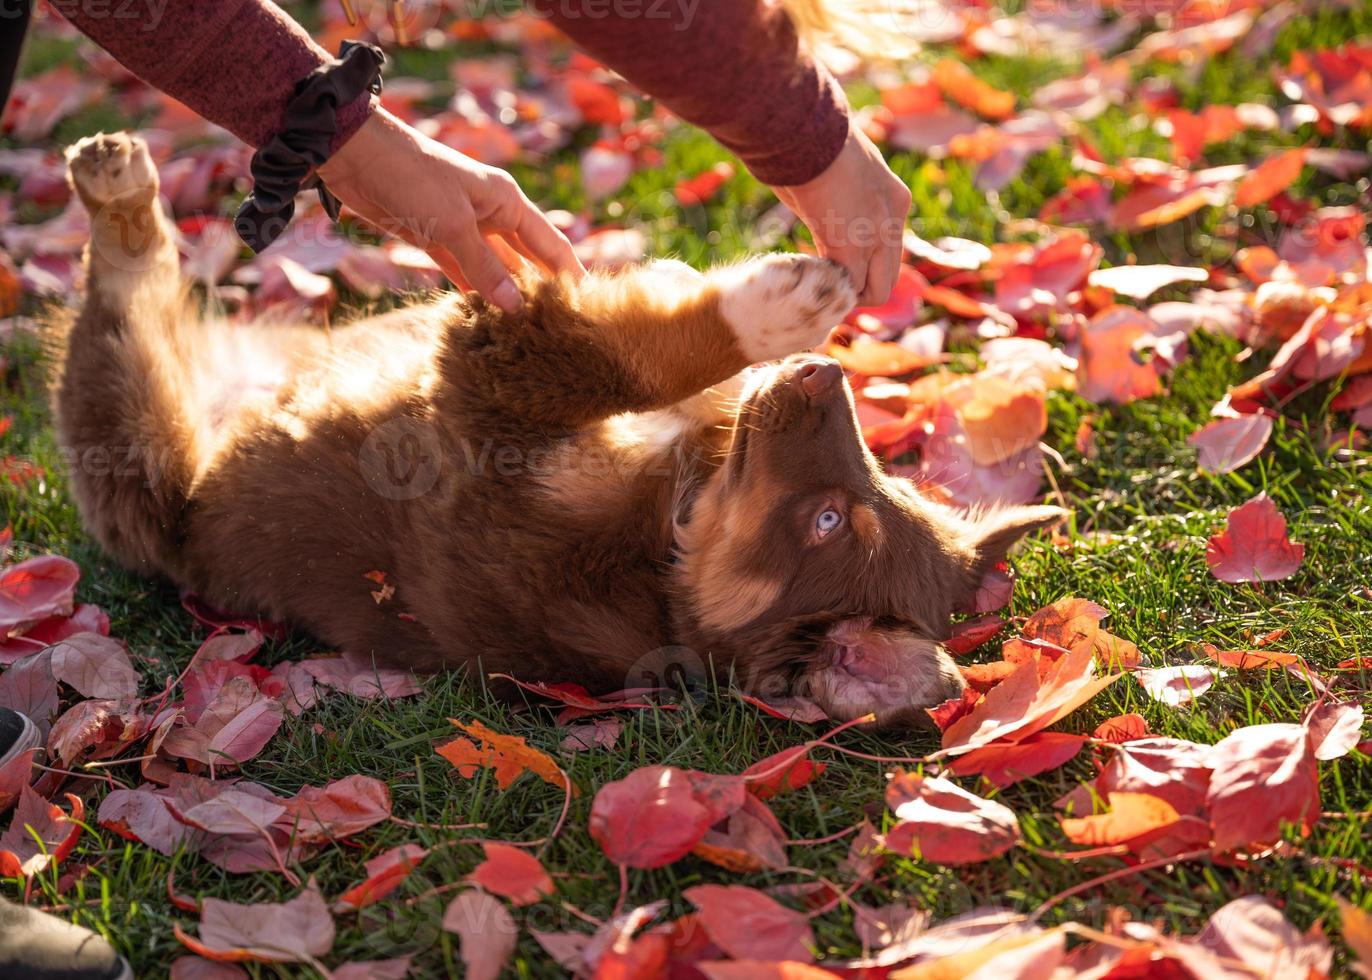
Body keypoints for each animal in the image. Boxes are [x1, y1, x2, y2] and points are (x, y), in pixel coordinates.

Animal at [53, 131, 1059, 724]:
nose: (827, 371)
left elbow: (617, 355)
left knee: (121, 317)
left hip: (144, 468)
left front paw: (769, 311)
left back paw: (117, 192)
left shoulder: (490, 418)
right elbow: (656, 356)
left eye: (827, 522)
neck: (668, 549)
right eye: (886, 481)